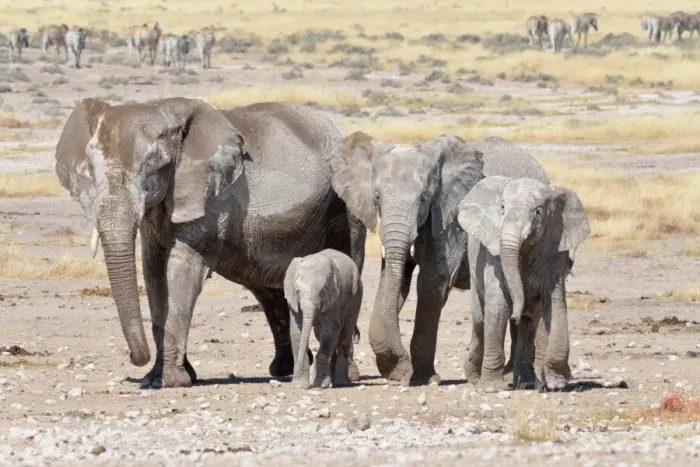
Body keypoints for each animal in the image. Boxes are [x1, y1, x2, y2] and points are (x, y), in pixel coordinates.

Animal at [284, 249, 362, 389]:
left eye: (323, 291)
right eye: (297, 291)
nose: (294, 381)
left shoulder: (335, 296)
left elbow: (330, 330)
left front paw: (320, 385)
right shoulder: (292, 300)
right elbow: (296, 330)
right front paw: (300, 384)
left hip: (356, 295)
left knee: (345, 335)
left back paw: (341, 382)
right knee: (321, 335)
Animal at [326, 132, 548, 386]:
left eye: (424, 198)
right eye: (377, 196)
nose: (401, 366)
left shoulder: (451, 217)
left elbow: (432, 283)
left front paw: (422, 378)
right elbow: (395, 282)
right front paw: (398, 371)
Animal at [457, 176, 590, 390]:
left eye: (538, 212)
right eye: (502, 207)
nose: (515, 314)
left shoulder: (553, 249)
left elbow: (556, 305)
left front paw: (556, 383)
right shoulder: (493, 255)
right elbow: (498, 307)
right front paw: (490, 388)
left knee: (528, 325)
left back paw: (527, 383)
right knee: (480, 320)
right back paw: (475, 378)